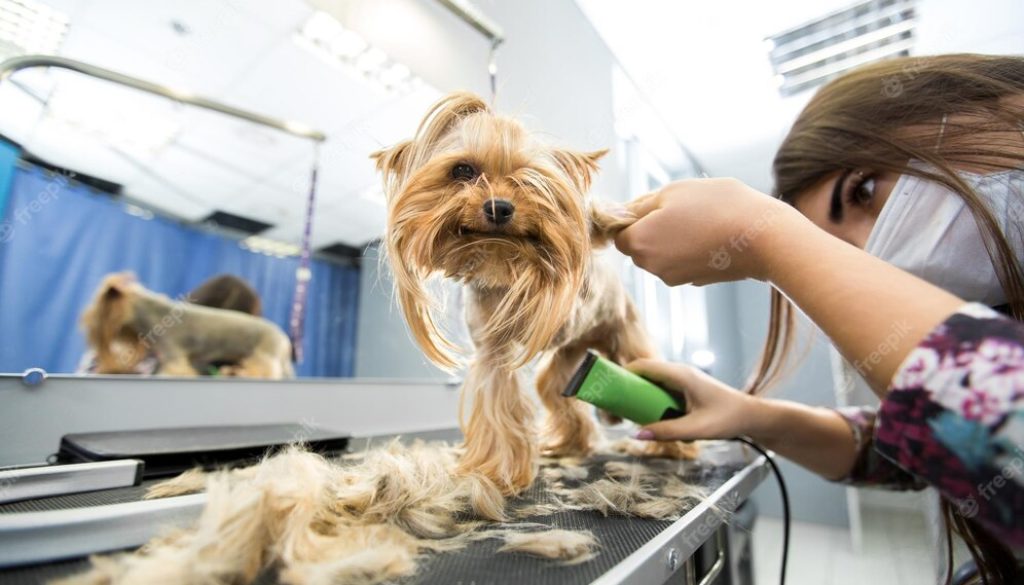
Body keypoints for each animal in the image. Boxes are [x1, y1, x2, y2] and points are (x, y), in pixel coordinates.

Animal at [80, 272, 292, 377]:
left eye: (96, 309)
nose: (85, 320)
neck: (152, 313)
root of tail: (284, 339)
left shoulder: (173, 356)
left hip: (265, 356)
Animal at [372, 93, 700, 495]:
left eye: (530, 180)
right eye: (462, 170)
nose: (498, 207)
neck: (499, 260)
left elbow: (588, 228)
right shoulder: (493, 351)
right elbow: (498, 398)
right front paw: (495, 471)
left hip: (626, 339)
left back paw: (670, 446)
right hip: (571, 358)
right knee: (558, 393)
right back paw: (569, 444)